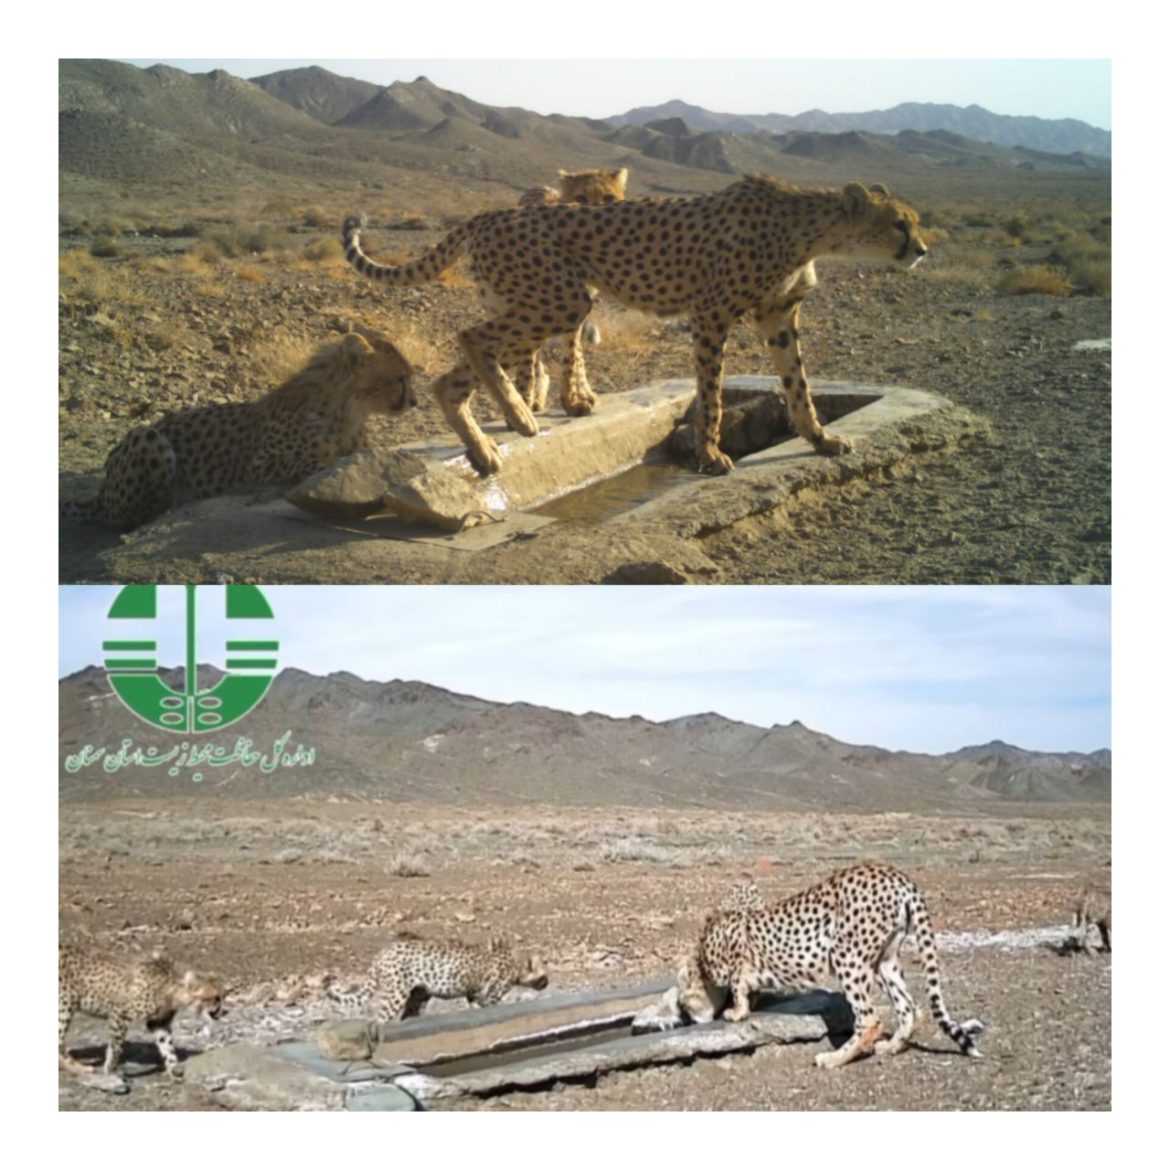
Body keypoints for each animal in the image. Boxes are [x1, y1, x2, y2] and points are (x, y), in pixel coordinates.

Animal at [58, 943, 225, 1080]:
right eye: (214, 998)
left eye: (220, 997)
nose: (222, 1011)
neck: (169, 991)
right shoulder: (119, 1014)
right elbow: (116, 1046)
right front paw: (110, 1069)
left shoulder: (159, 1022)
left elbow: (167, 1045)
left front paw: (174, 1069)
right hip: (65, 1005)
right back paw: (79, 1068)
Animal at [62, 326, 415, 530]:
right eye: (401, 378)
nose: (414, 401)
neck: (348, 409)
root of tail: (101, 492)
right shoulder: (256, 466)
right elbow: (313, 460)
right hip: (147, 436)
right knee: (124, 518)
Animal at [324, 933, 549, 1023]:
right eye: (544, 974)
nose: (547, 983)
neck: (516, 967)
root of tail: (382, 952)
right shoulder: (489, 996)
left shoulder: (474, 995)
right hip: (396, 995)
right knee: (380, 1020)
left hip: (418, 997)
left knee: (407, 1017)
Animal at [514, 166, 629, 413]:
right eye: (581, 199)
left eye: (608, 198)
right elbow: (527, 362)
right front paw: (523, 399)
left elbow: (571, 357)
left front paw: (571, 401)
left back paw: (583, 391)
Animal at [676, 862, 984, 1069]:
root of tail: (894, 874)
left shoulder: (737, 959)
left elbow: (738, 986)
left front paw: (736, 1011)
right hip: (884, 961)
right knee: (909, 1008)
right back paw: (892, 1047)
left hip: (847, 956)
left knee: (870, 1020)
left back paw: (833, 1058)